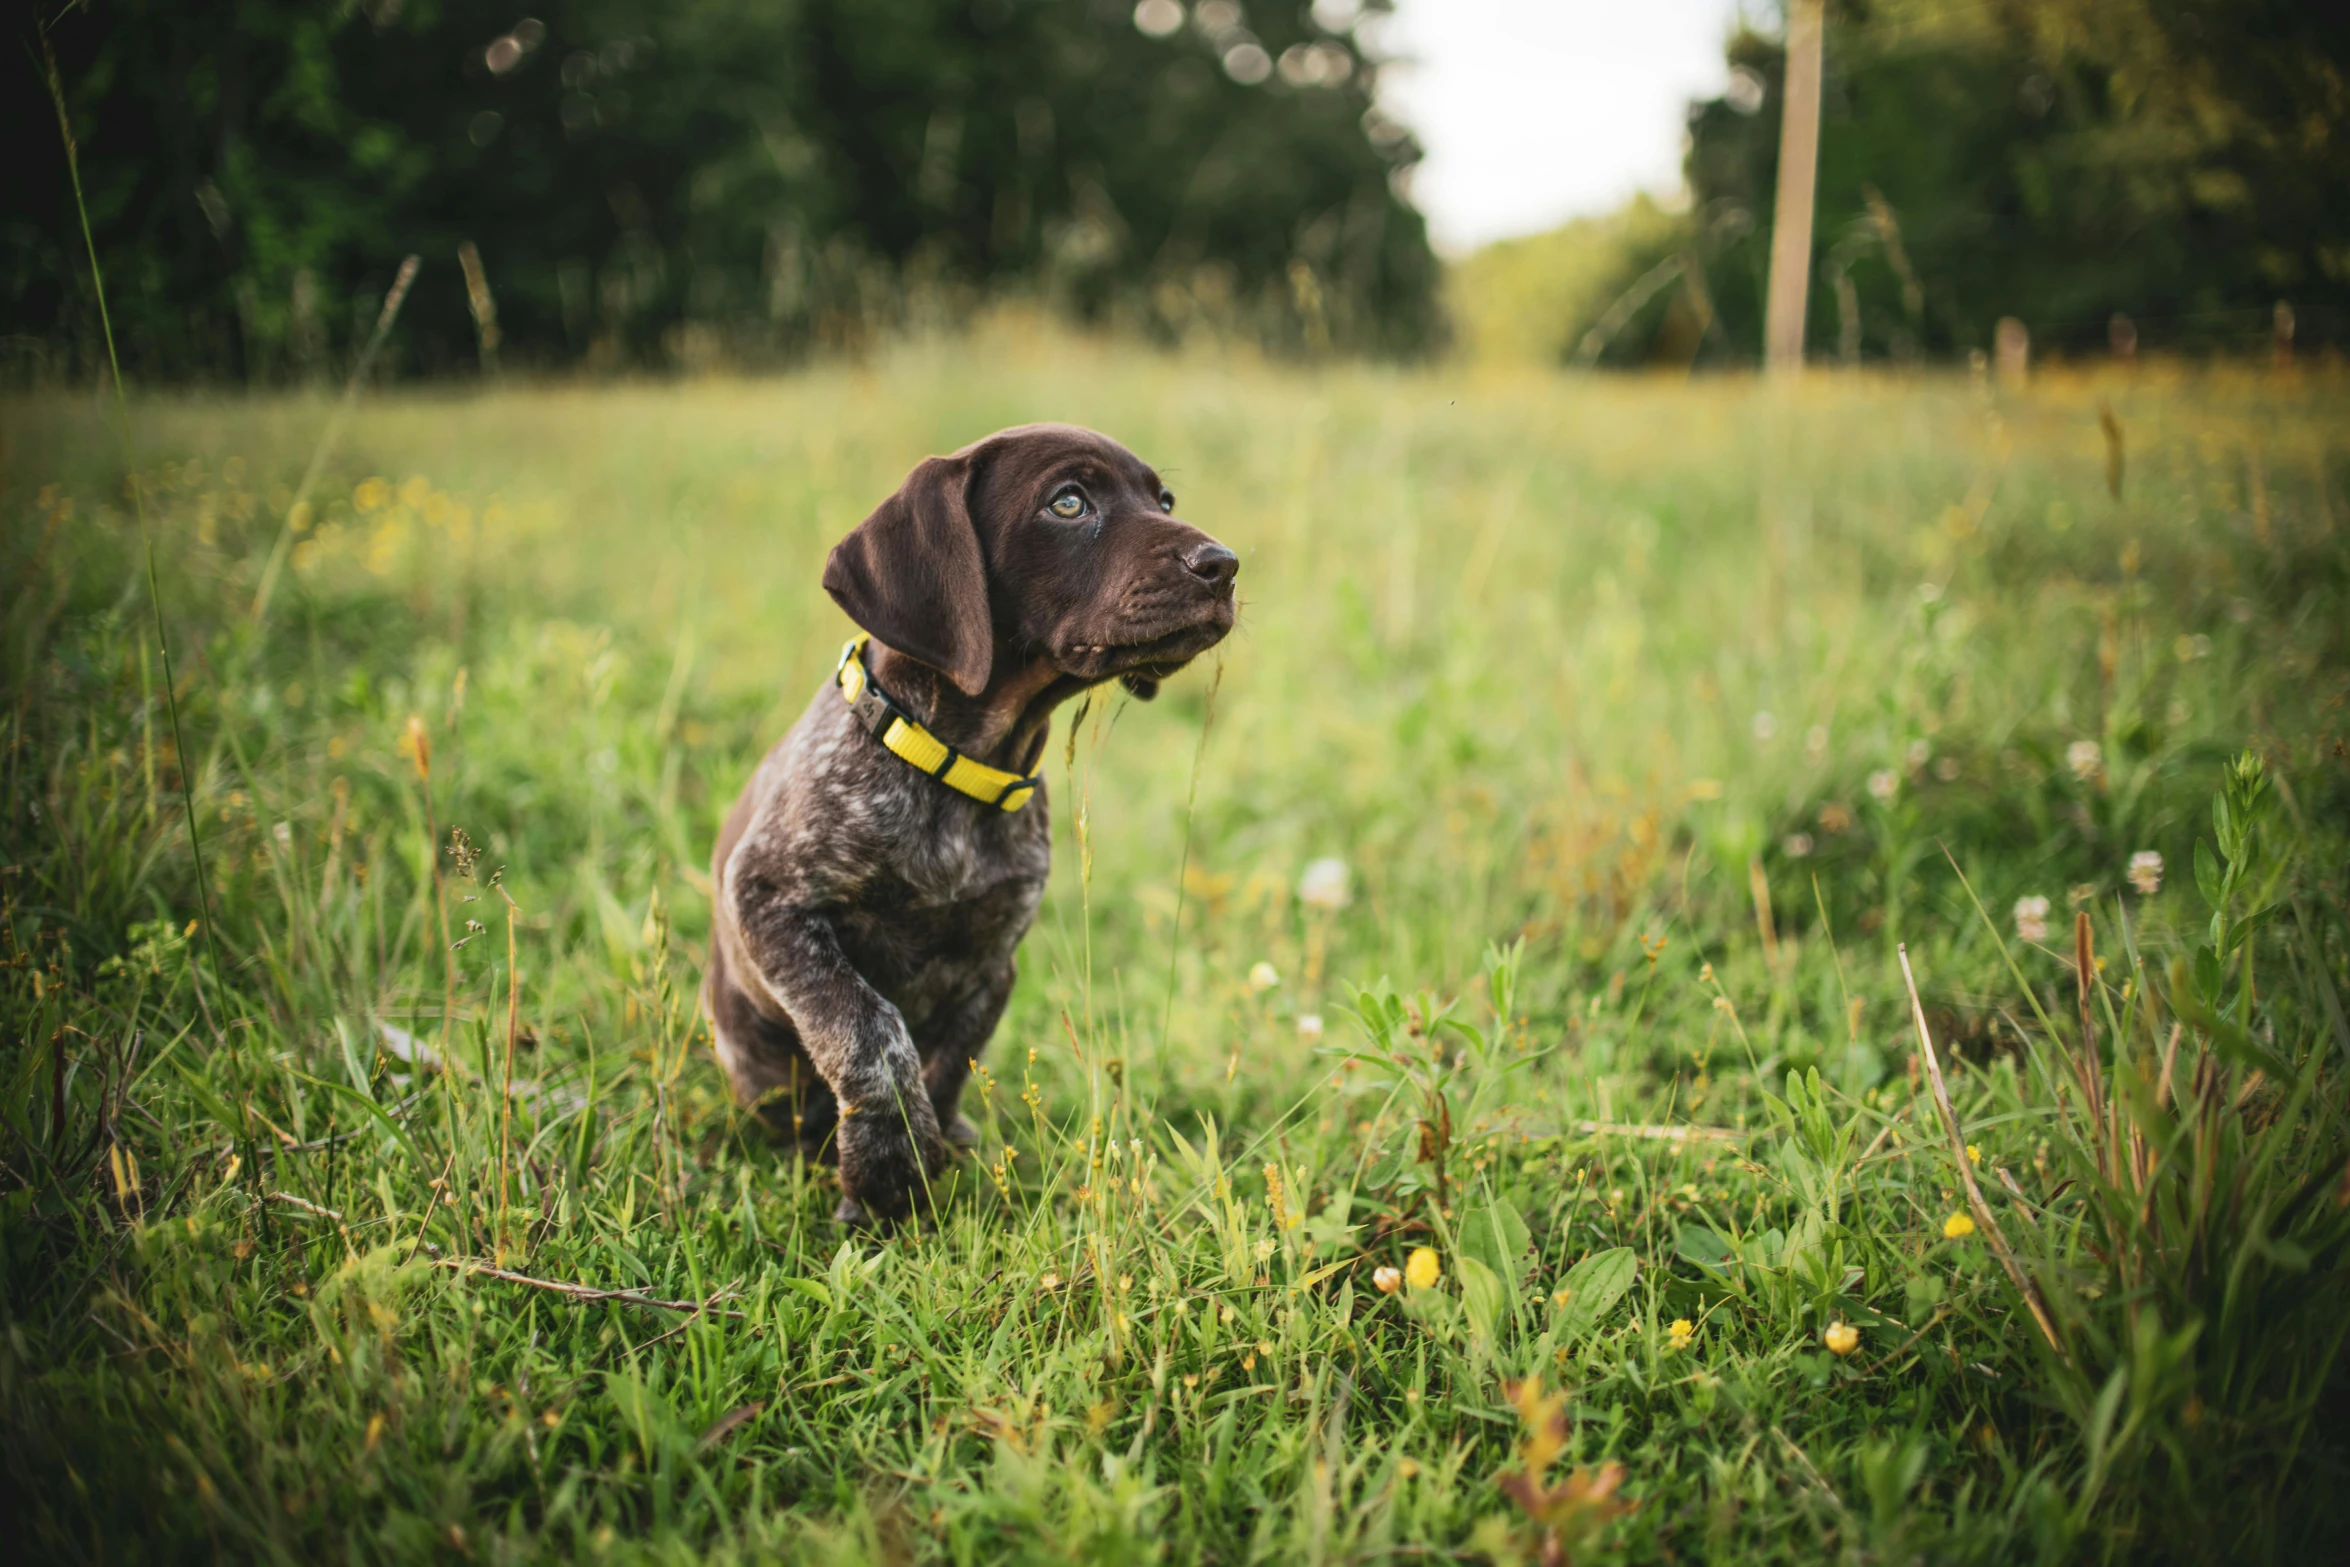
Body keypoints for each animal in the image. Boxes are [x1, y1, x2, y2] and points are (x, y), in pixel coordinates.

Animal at [700, 425, 1240, 1221]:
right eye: (1068, 503)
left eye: (1164, 501)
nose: (1224, 566)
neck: (957, 771)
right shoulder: (770, 900)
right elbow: (865, 1027)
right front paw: (887, 1173)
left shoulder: (992, 957)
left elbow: (949, 1061)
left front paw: (936, 1154)